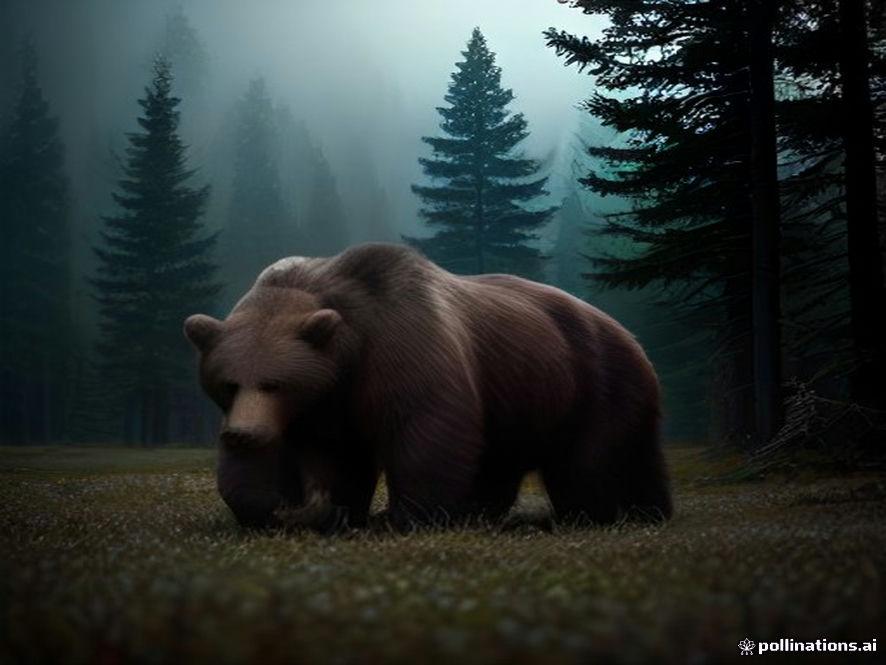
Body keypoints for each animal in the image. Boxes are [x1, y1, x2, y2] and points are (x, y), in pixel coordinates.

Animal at [183, 243, 672, 532]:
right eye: (228, 384)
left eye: (274, 383)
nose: (241, 434)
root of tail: (629, 334)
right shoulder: (316, 407)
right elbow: (292, 464)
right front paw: (300, 508)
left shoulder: (403, 350)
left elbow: (425, 432)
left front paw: (397, 515)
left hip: (591, 382)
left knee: (593, 460)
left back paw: (606, 512)